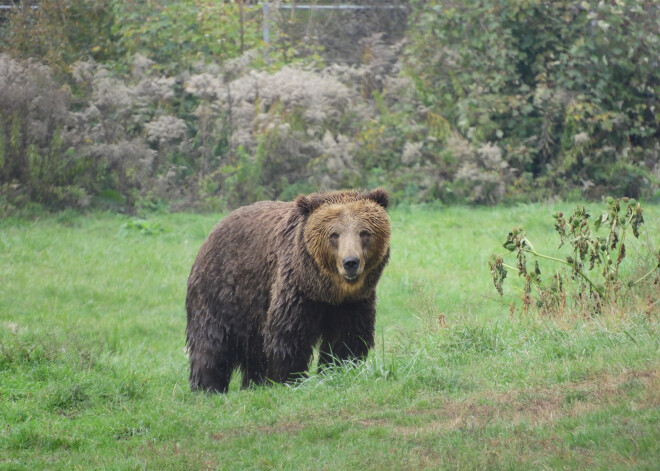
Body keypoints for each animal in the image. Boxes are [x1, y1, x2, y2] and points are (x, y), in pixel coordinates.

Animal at [184, 190, 392, 392]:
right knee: (211, 340)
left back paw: (254, 384)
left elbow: (347, 338)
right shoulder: (296, 290)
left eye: (364, 232)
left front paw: (338, 370)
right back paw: (207, 387)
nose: (350, 262)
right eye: (334, 234)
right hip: (222, 290)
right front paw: (289, 379)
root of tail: (213, 231)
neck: (326, 291)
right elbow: (289, 334)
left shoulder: (352, 303)